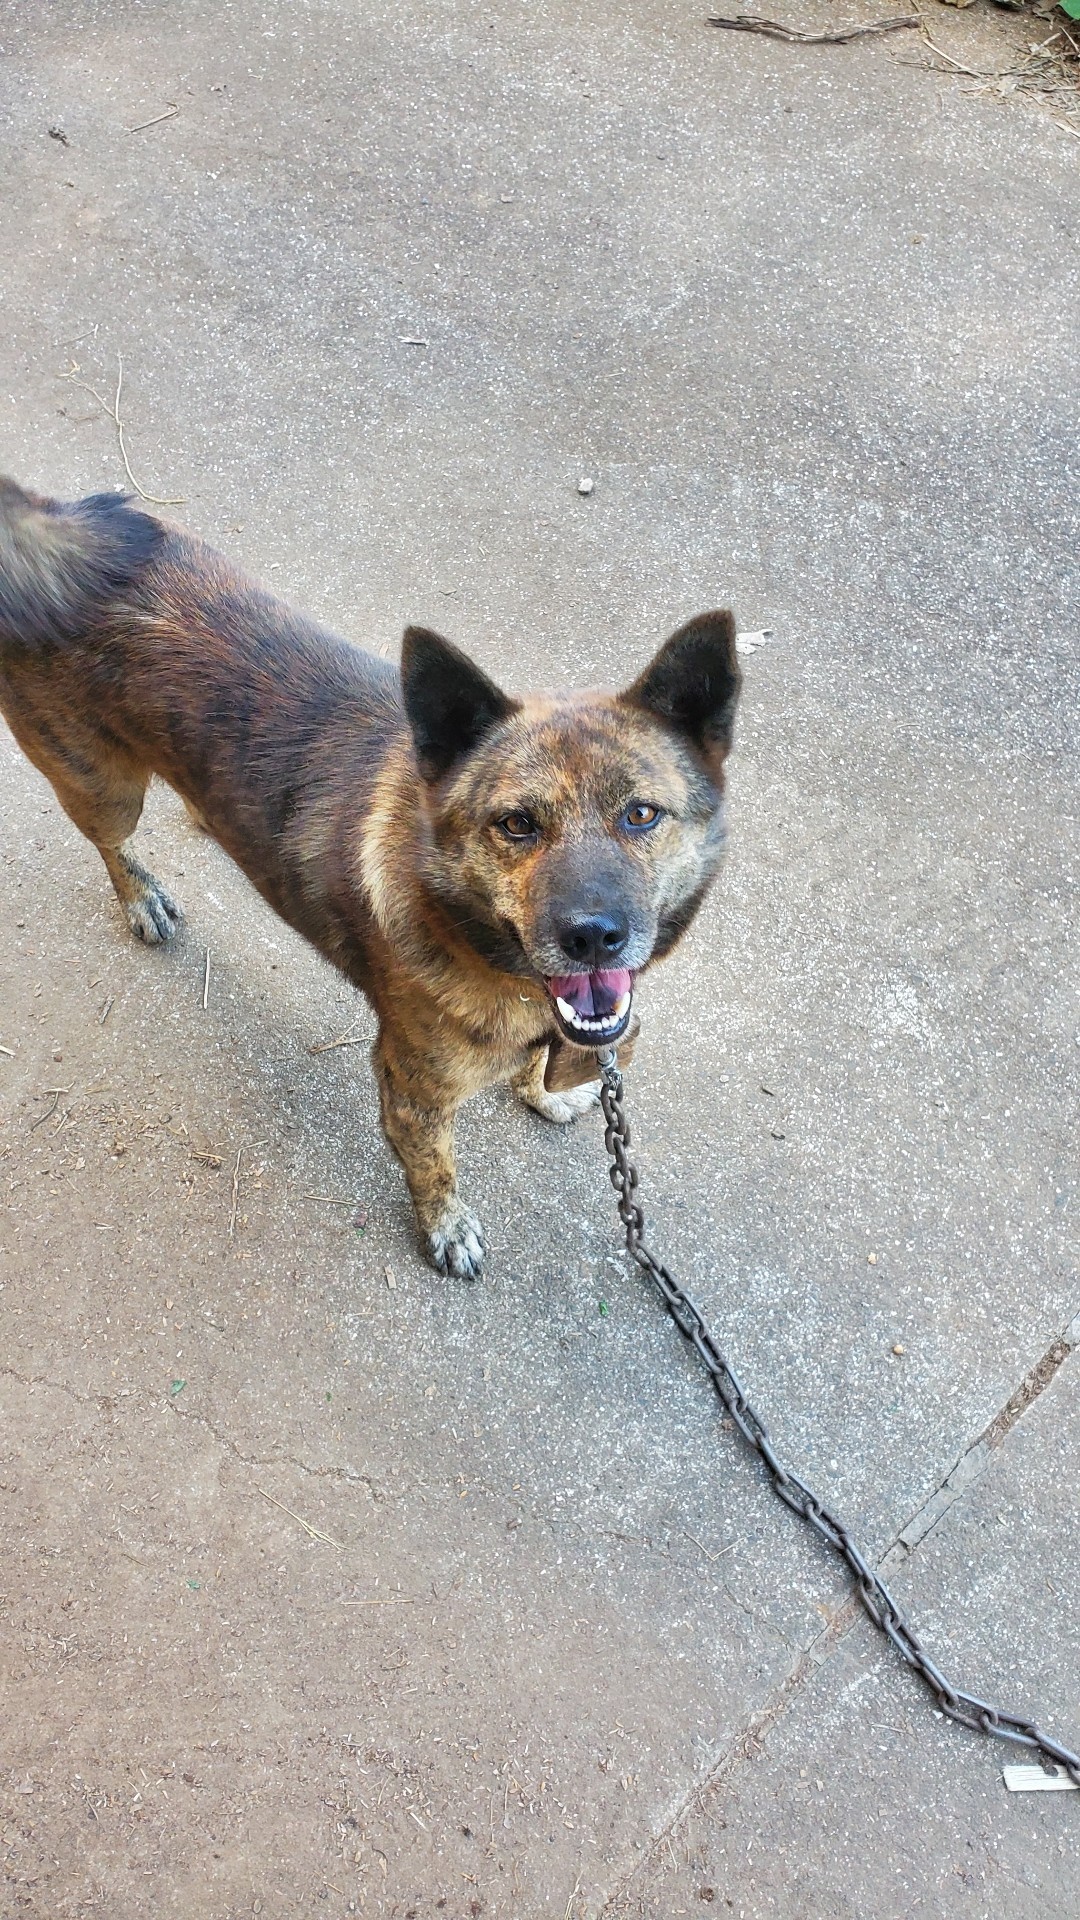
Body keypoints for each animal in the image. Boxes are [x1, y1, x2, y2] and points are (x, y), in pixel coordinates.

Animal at [0, 470, 737, 1274]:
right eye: (516, 824)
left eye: (641, 815)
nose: (594, 937)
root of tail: (54, 520)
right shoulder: (412, 1090)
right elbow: (434, 1168)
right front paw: (447, 1227)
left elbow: (544, 1062)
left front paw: (543, 1092)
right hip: (104, 788)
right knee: (110, 843)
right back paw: (140, 898)